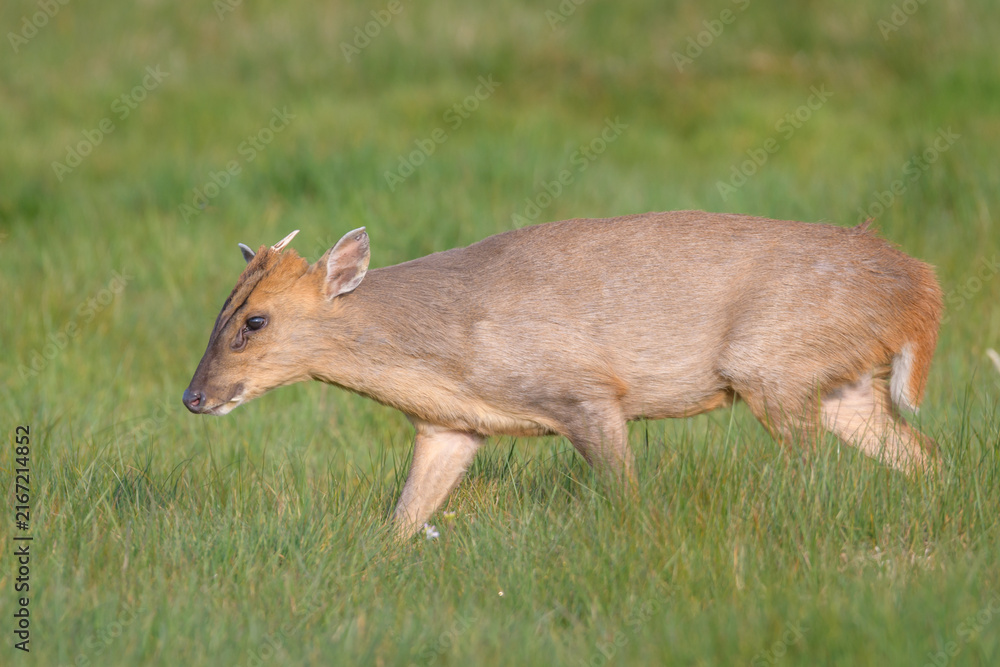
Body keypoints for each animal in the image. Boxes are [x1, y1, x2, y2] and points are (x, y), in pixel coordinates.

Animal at [182, 211, 943, 538]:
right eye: (222, 307)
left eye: (255, 321)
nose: (194, 396)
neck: (446, 349)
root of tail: (921, 286)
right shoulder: (451, 424)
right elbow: (404, 516)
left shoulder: (584, 391)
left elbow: (628, 496)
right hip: (842, 384)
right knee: (926, 457)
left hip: (772, 366)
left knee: (819, 470)